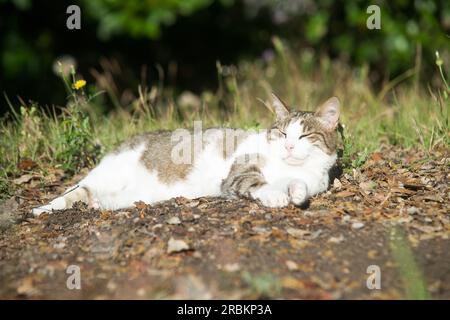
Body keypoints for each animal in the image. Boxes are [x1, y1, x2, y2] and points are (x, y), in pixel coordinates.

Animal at [31, 93, 340, 218]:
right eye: (283, 133)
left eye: (304, 136)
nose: (289, 147)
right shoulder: (238, 174)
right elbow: (257, 182)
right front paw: (274, 195)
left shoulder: (310, 180)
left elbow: (298, 186)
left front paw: (295, 193)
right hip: (106, 174)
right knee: (75, 190)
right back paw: (42, 209)